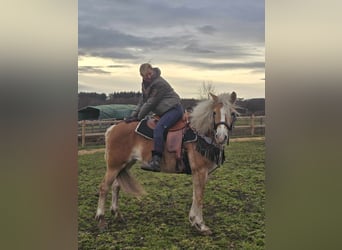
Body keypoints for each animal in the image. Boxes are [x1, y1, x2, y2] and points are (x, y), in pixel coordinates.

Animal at [95, 91, 236, 234]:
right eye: (214, 112)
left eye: (232, 113)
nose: (221, 137)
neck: (199, 134)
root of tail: (113, 128)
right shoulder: (200, 171)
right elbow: (199, 196)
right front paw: (201, 225)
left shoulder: (199, 173)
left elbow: (195, 195)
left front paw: (193, 220)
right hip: (114, 166)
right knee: (104, 187)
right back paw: (101, 220)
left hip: (125, 164)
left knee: (116, 186)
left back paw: (117, 214)